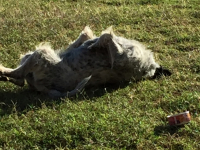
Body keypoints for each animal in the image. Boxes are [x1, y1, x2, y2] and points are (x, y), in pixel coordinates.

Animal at [0, 26, 172, 98]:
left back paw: (2, 71)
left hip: (41, 54)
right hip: (32, 57)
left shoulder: (120, 57)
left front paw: (95, 44)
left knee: (19, 74)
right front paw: (88, 43)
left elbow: (106, 37)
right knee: (20, 78)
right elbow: (88, 36)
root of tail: (44, 89)